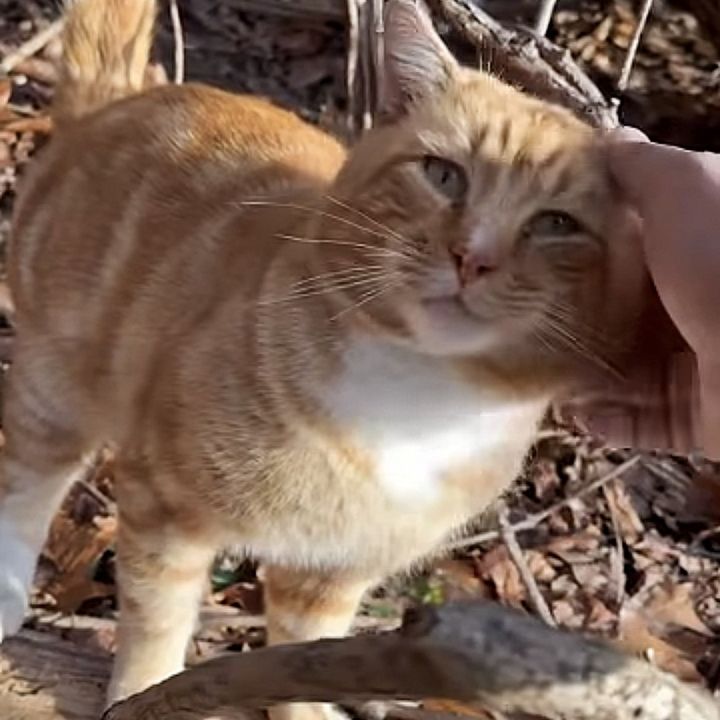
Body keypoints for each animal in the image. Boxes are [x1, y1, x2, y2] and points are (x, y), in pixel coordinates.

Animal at [0, 0, 644, 716]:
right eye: (443, 174)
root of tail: (119, 102)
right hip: (55, 384)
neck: (416, 402)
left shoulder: (332, 575)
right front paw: (143, 689)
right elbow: (155, 615)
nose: (472, 258)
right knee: (28, 478)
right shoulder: (161, 501)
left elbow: (303, 653)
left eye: (556, 225)